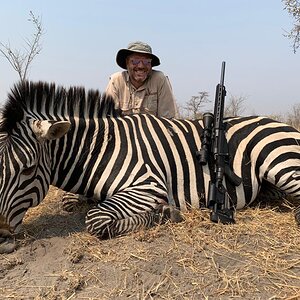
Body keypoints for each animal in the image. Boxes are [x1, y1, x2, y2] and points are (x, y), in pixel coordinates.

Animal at [0, 79, 298, 253]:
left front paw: (165, 213)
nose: (1, 238)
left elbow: (95, 219)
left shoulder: (148, 185)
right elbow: (73, 203)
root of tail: (280, 123)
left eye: (28, 169)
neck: (100, 150)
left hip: (279, 163)